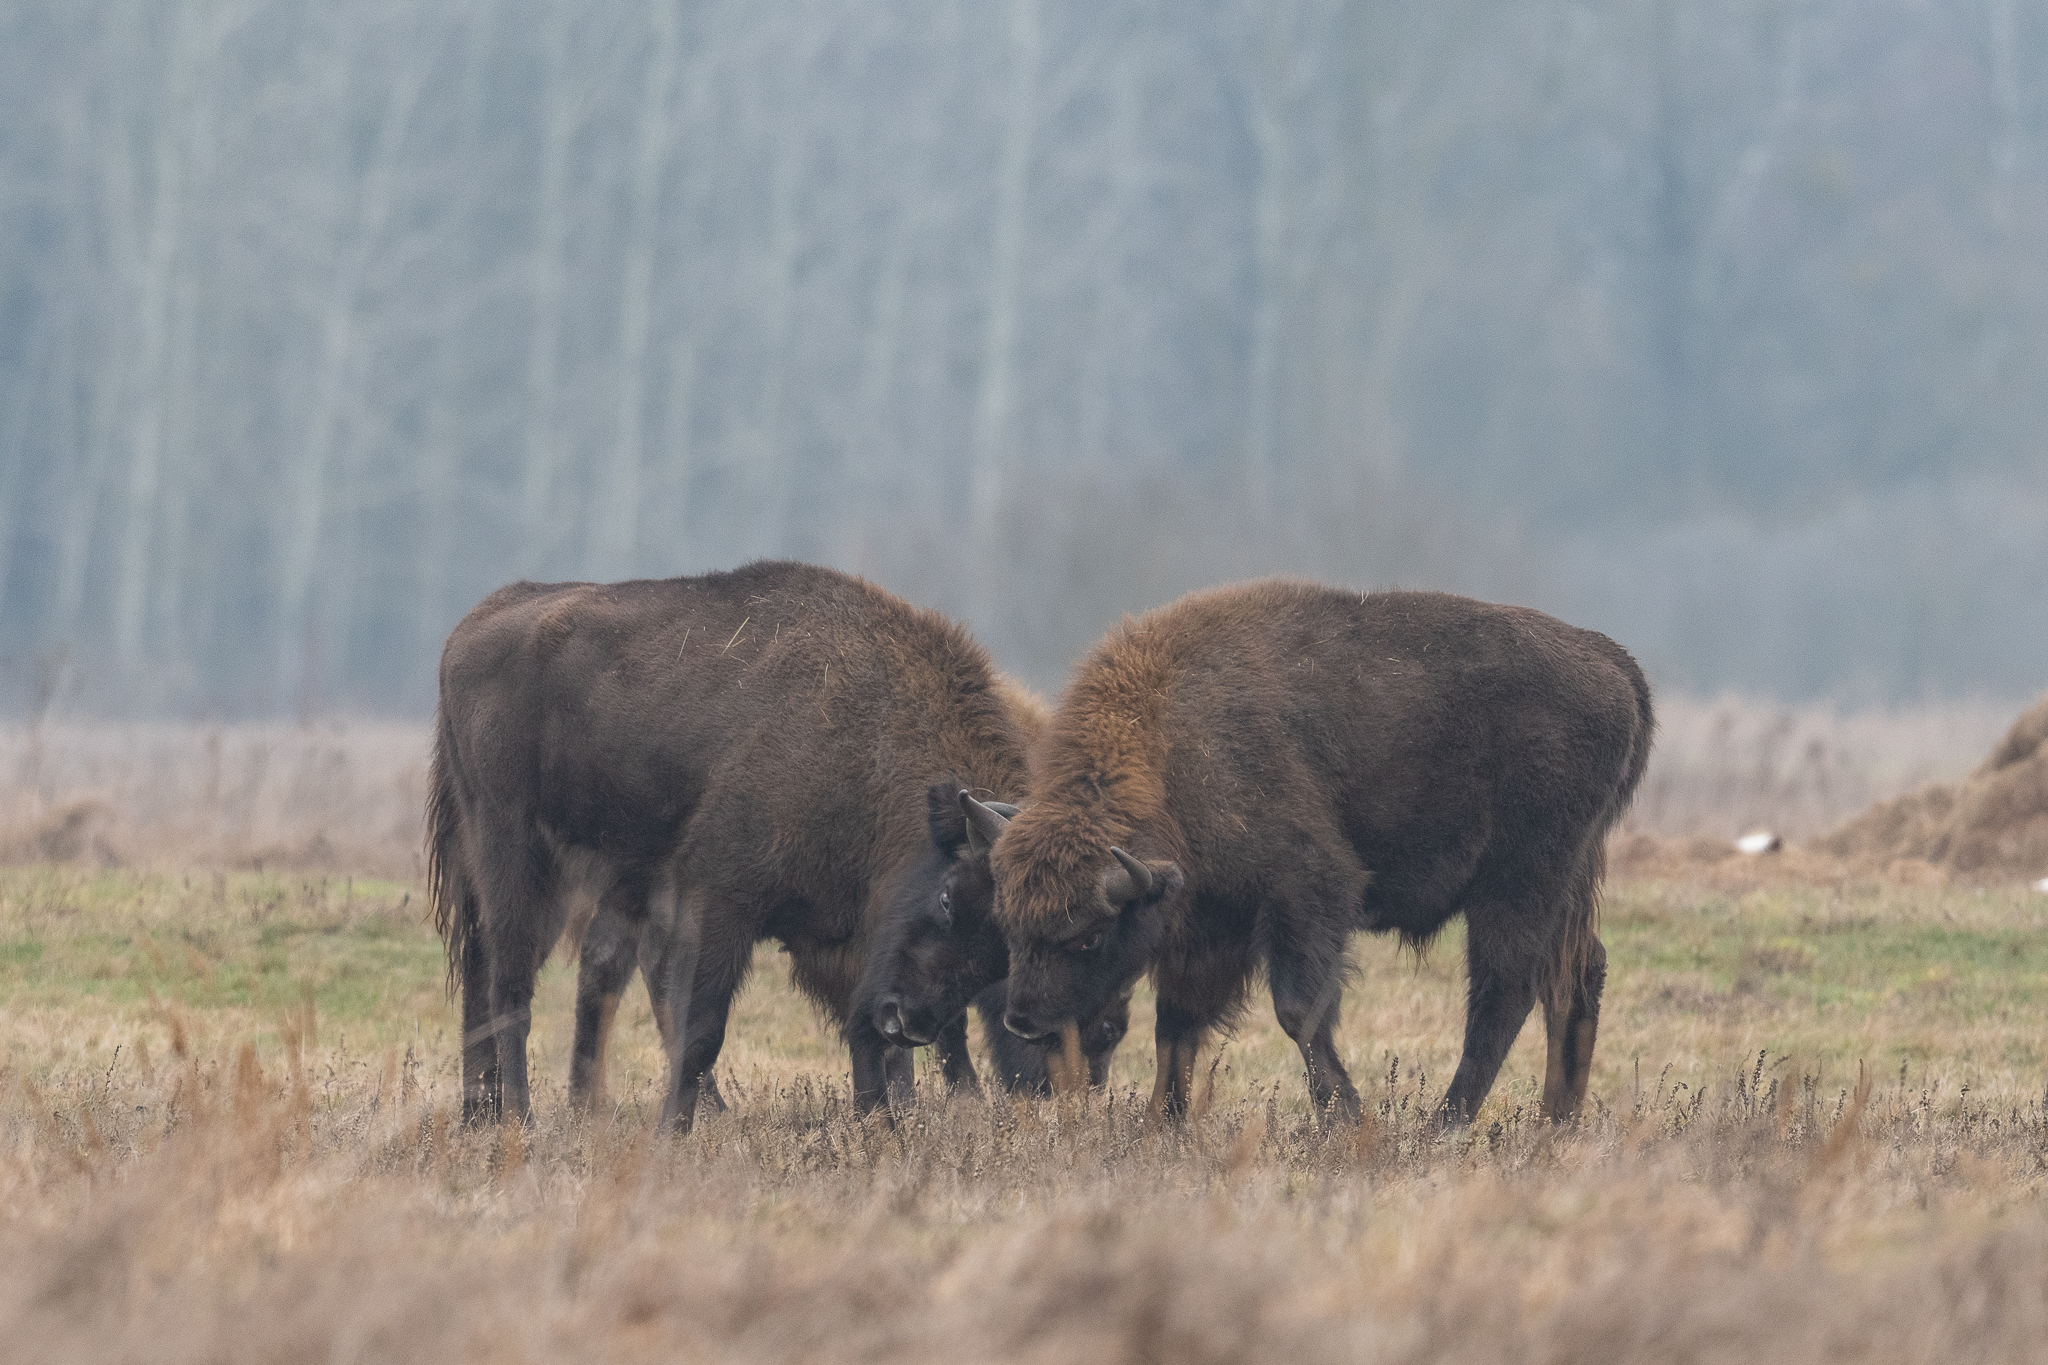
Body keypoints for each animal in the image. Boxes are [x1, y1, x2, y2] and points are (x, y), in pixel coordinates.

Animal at [427, 561, 1101, 1128]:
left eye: (1006, 949)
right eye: (945, 899)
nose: (908, 1022)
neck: (869, 747)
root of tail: (473, 625)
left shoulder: (844, 937)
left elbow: (865, 1038)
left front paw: (880, 1123)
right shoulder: (720, 901)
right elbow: (703, 1027)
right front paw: (673, 1129)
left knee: (494, 968)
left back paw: (481, 1115)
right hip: (516, 854)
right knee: (510, 981)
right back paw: (520, 1119)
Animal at [954, 581, 1652, 1125]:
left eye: (1088, 937)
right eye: (1009, 926)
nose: (1025, 1022)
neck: (1176, 742)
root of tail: (1614, 663)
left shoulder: (1305, 893)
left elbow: (1298, 1011)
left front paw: (1346, 1120)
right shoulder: (1208, 924)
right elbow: (1175, 1025)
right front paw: (1161, 1125)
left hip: (1521, 878)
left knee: (1505, 990)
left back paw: (1444, 1126)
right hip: (1569, 878)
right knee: (1578, 976)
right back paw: (1553, 1124)